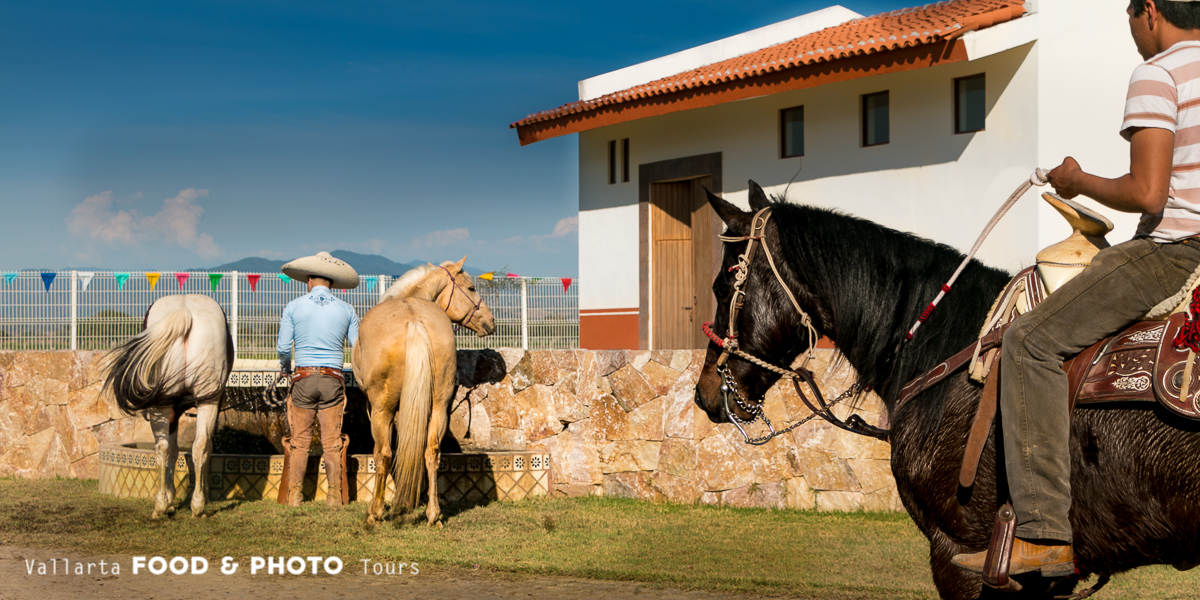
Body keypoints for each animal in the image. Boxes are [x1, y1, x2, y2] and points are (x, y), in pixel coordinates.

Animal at [105, 292, 234, 518]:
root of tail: (185, 311)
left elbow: (173, 450)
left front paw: (170, 495)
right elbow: (193, 449)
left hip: (163, 404)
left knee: (163, 447)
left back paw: (161, 505)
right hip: (206, 400)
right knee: (199, 445)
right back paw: (197, 505)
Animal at [350, 258, 492, 525]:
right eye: (471, 288)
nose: (490, 321)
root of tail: (414, 321)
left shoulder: (377, 409)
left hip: (382, 409)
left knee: (384, 454)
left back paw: (375, 512)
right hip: (438, 408)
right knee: (431, 451)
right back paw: (433, 513)